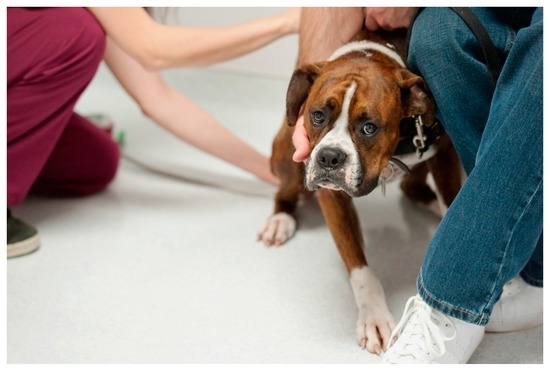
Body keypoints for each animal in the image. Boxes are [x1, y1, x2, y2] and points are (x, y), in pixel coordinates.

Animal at [256, 29, 464, 354]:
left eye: (369, 128)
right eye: (317, 115)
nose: (329, 157)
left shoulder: (444, 154)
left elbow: (451, 200)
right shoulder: (332, 194)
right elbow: (359, 267)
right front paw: (374, 318)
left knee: (411, 186)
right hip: (286, 146)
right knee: (285, 190)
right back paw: (281, 219)